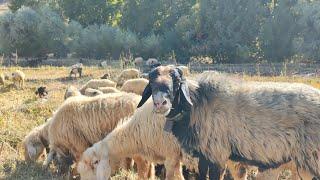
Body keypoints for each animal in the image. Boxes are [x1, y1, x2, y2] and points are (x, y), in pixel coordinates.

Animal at [137, 65, 320, 179]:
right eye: (151, 81)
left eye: (175, 81)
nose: (160, 103)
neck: (197, 104)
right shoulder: (204, 155)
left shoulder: (217, 153)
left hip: (314, 155)